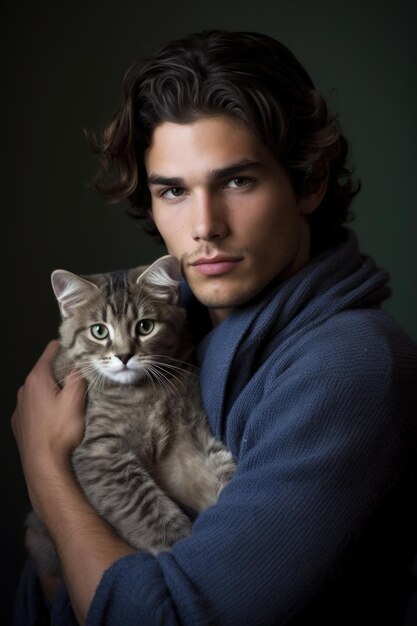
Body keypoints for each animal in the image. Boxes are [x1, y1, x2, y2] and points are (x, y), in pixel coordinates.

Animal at [26, 251, 234, 572]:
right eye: (99, 331)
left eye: (145, 327)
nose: (124, 356)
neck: (145, 392)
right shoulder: (99, 452)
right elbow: (146, 508)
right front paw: (176, 542)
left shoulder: (189, 436)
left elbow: (219, 467)